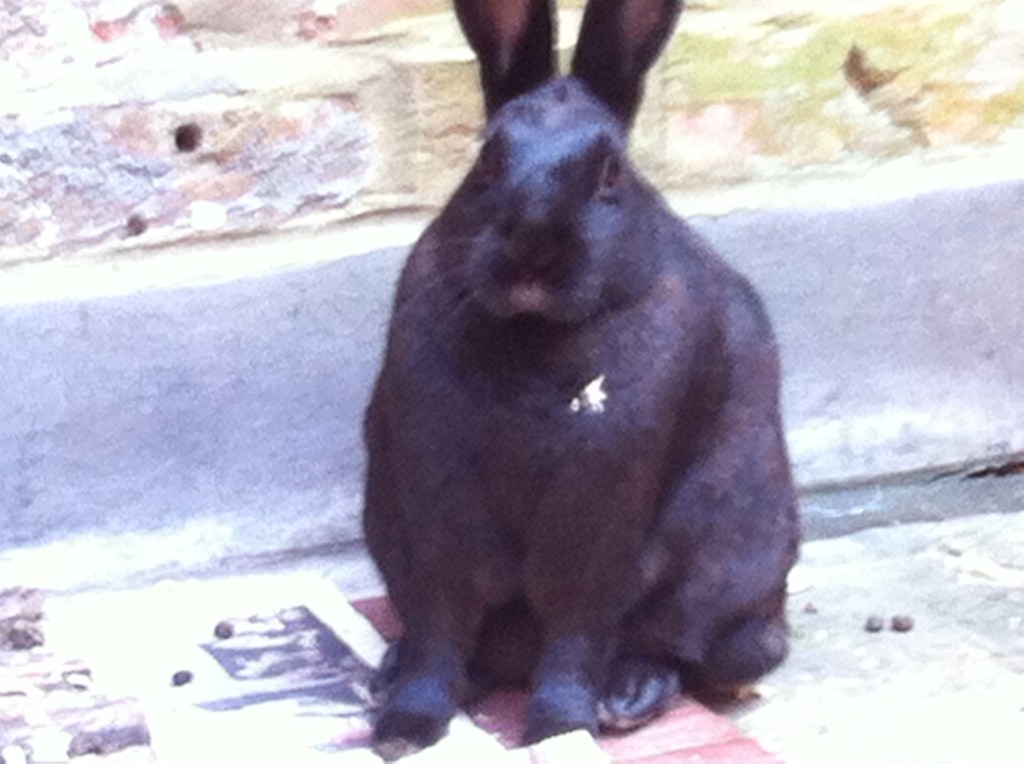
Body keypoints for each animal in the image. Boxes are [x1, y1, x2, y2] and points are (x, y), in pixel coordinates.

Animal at [361, 0, 800, 757]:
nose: (533, 249)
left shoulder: (598, 514)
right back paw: (391, 673)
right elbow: (443, 623)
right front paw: (407, 728)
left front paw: (560, 727)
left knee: (678, 647)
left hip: (728, 580)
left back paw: (627, 696)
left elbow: (575, 626)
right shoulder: (436, 510)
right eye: (486, 160)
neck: (533, 334)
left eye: (610, 174)